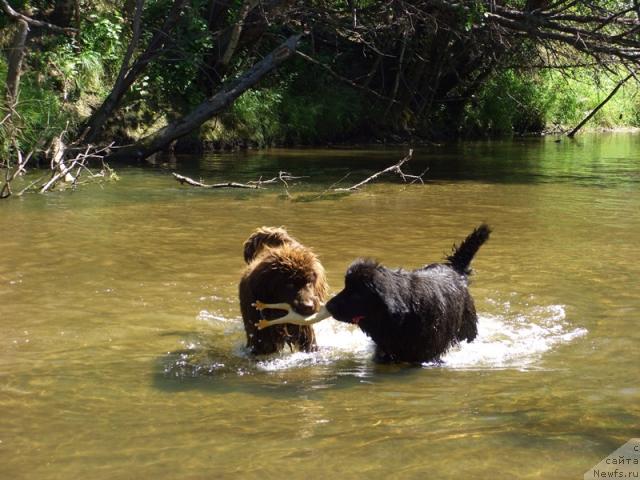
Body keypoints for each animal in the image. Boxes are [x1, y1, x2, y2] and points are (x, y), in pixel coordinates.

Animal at [254, 225, 490, 364]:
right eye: (345, 287)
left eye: (356, 293)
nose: (328, 305)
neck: (404, 315)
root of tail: (455, 271)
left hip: (467, 330)